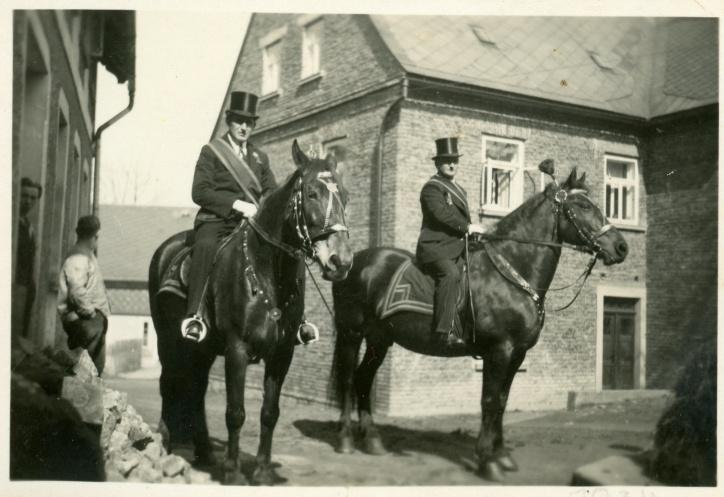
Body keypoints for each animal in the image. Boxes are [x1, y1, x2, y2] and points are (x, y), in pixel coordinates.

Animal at [148, 140, 352, 484]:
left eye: (346, 196)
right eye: (311, 193)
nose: (341, 261)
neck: (267, 272)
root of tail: (167, 248)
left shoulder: (282, 354)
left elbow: (269, 414)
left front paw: (262, 471)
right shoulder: (237, 349)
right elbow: (235, 412)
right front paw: (233, 472)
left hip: (203, 349)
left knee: (197, 388)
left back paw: (205, 450)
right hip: (167, 339)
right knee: (169, 382)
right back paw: (165, 443)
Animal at [332, 162, 628, 480]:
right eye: (584, 205)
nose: (622, 247)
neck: (511, 271)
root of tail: (353, 262)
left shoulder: (517, 353)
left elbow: (502, 401)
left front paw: (502, 455)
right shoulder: (499, 350)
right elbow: (489, 400)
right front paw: (488, 460)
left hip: (380, 339)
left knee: (363, 379)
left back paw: (372, 440)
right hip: (351, 332)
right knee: (348, 379)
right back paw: (345, 439)